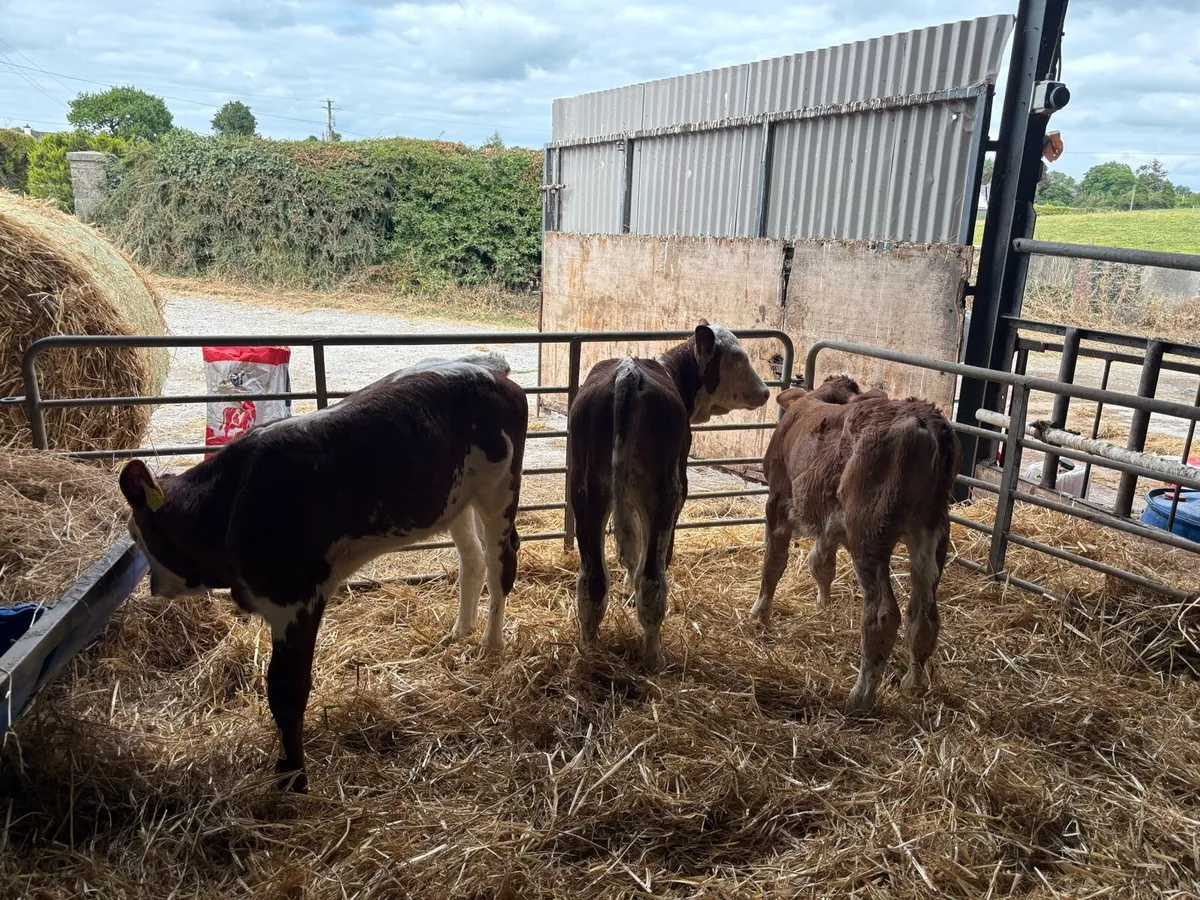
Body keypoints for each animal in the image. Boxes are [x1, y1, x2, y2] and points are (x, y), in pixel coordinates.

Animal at [117, 351, 527, 792]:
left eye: (140, 537)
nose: (154, 586)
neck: (232, 505)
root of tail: (487, 367)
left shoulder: (296, 598)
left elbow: (286, 690)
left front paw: (293, 777)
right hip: (455, 501)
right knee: (471, 560)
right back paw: (459, 631)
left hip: (498, 490)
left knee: (501, 563)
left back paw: (490, 644)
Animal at [568, 321, 771, 671]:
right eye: (738, 359)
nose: (766, 391)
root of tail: (628, 373)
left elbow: (630, 551)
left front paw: (627, 589)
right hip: (665, 493)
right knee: (652, 579)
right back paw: (654, 658)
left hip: (587, 494)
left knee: (592, 583)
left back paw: (590, 652)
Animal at [749, 374, 960, 714]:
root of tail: (925, 419)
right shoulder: (831, 524)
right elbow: (820, 564)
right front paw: (823, 605)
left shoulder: (778, 500)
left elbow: (773, 562)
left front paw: (759, 613)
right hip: (931, 533)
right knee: (923, 615)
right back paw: (913, 683)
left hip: (868, 533)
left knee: (883, 615)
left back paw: (860, 697)